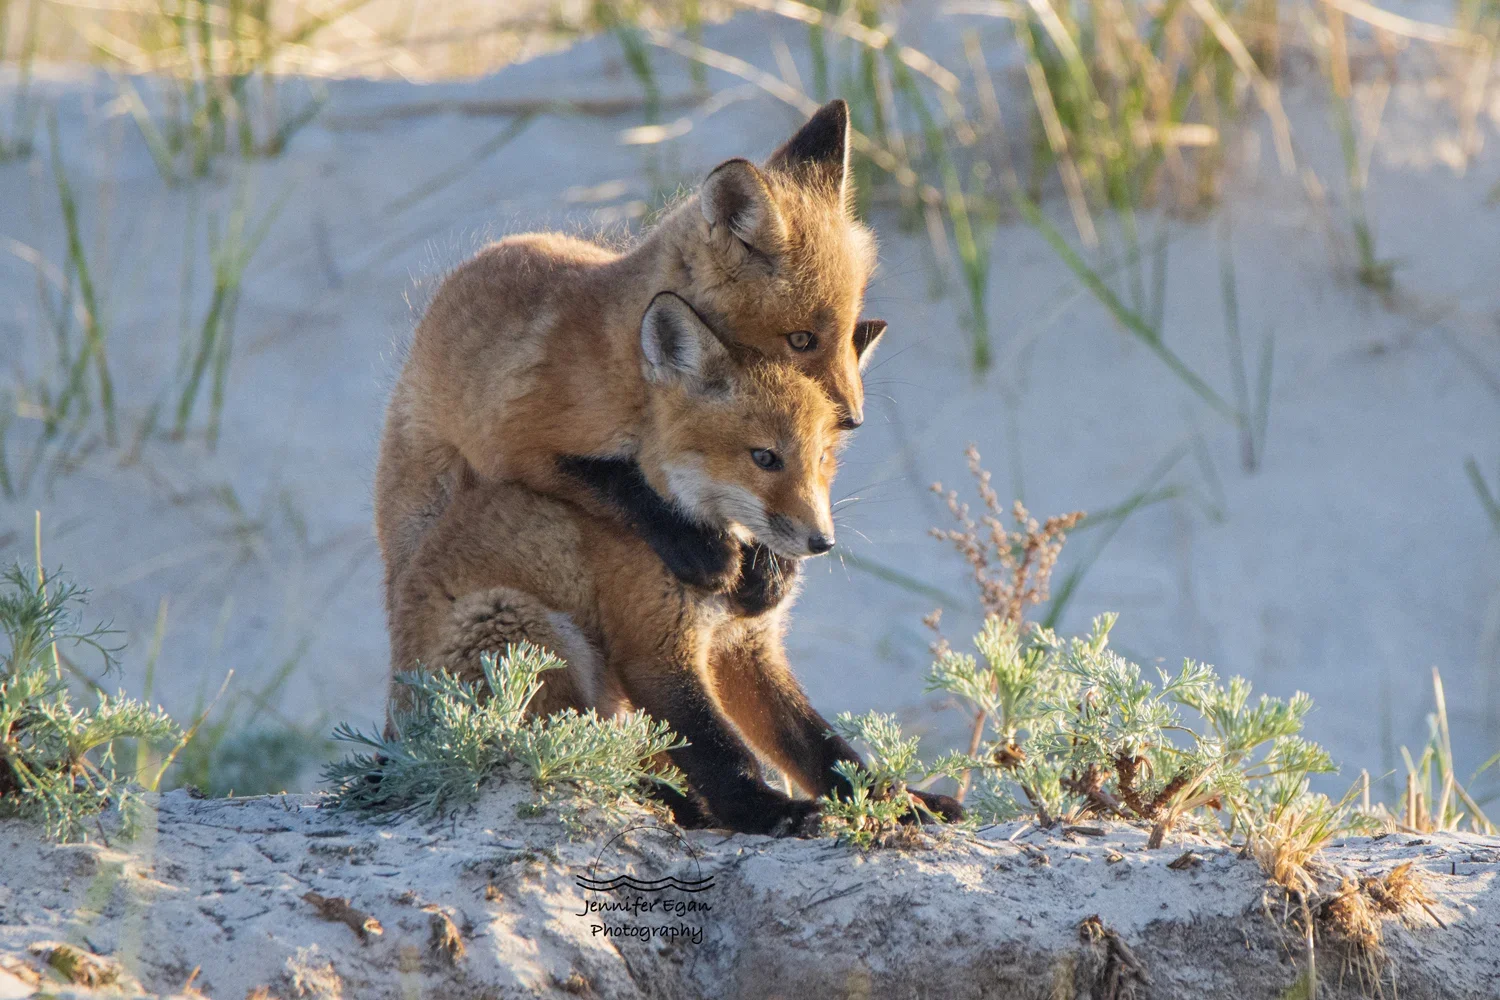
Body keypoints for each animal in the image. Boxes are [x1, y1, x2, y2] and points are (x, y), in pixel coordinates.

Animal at [374, 100, 885, 621]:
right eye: (801, 339)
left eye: (849, 332)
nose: (853, 419)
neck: (633, 375)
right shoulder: (516, 442)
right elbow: (622, 488)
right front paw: (702, 550)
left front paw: (771, 570)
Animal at [392, 293, 960, 834]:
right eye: (765, 458)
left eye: (822, 458)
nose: (821, 542)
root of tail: (397, 733)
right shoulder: (655, 649)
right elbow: (722, 754)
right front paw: (768, 813)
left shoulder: (746, 648)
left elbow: (822, 748)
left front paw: (896, 802)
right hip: (522, 629)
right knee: (571, 757)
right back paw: (673, 803)